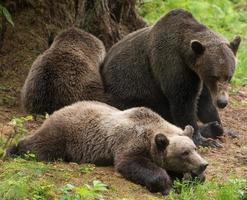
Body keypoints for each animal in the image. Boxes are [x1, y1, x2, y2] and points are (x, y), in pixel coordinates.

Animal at [5, 101, 208, 195]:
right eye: (184, 152)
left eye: (194, 149)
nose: (203, 164)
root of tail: (59, 109)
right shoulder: (129, 142)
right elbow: (132, 164)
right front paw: (165, 185)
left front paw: (194, 178)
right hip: (65, 134)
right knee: (40, 147)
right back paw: (12, 150)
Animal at [99, 9, 240, 147]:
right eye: (214, 76)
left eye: (229, 76)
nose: (222, 102)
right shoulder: (172, 65)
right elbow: (183, 101)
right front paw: (203, 139)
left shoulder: (198, 76)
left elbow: (205, 101)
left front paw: (225, 128)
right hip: (129, 91)